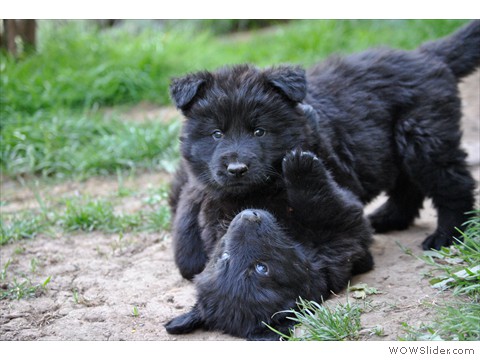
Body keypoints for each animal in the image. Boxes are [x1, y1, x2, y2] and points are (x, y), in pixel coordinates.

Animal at [167, 150, 374, 340]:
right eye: (262, 268)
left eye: (223, 259)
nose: (248, 215)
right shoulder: (343, 233)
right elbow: (322, 204)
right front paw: (301, 165)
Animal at [169, 20, 480, 282]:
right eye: (216, 133)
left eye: (259, 131)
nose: (236, 170)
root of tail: (426, 55)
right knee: (408, 185)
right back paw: (388, 218)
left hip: (424, 137)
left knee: (453, 184)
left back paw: (447, 235)